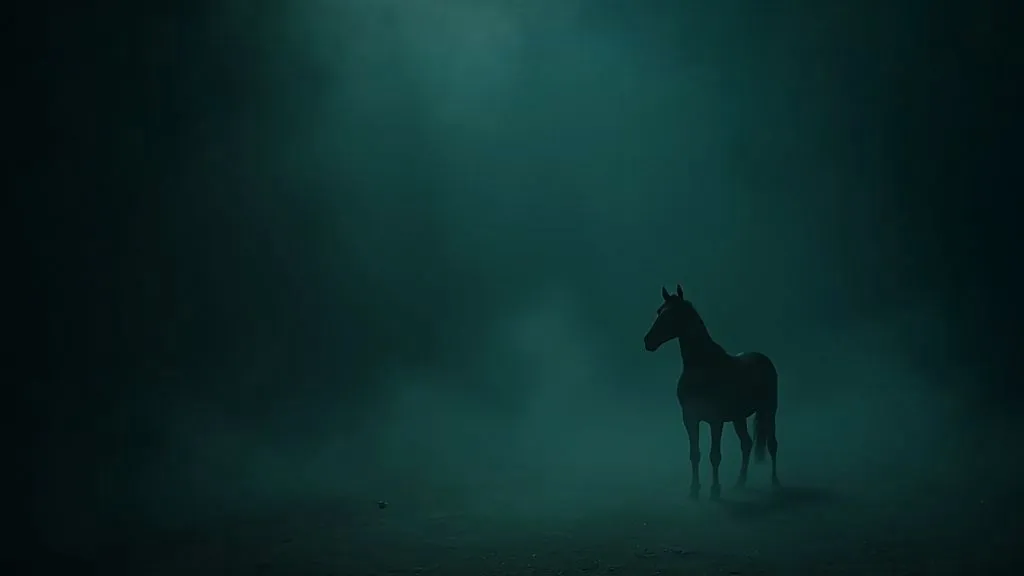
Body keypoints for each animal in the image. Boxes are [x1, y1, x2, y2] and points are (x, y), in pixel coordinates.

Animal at [643, 284, 780, 500]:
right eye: (659, 311)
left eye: (673, 313)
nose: (648, 341)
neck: (703, 366)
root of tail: (764, 359)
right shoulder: (690, 418)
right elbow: (695, 454)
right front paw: (694, 489)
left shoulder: (715, 420)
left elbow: (714, 455)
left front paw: (715, 490)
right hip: (738, 417)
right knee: (747, 444)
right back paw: (740, 483)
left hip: (769, 410)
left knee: (772, 445)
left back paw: (775, 483)